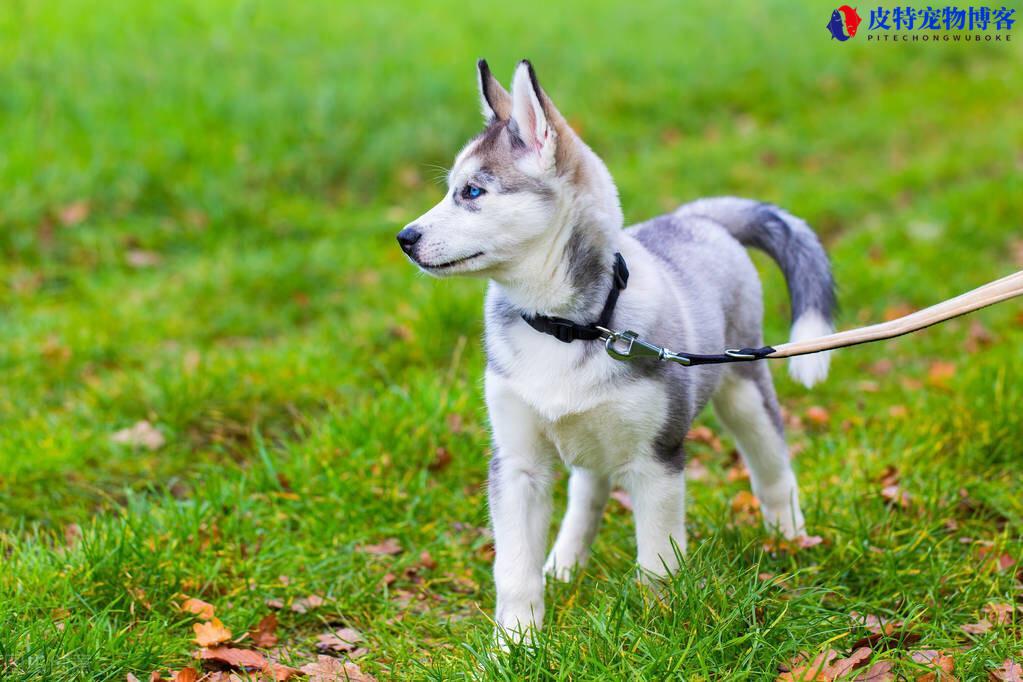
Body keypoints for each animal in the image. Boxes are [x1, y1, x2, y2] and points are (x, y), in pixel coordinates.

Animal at [394, 61, 834, 642]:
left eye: (471, 191)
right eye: (450, 190)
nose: (403, 237)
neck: (565, 327)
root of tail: (697, 216)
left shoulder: (657, 460)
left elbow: (658, 561)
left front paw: (658, 627)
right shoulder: (516, 463)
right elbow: (513, 569)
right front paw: (515, 644)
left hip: (744, 393)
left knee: (773, 471)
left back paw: (788, 538)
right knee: (588, 491)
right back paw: (563, 564)